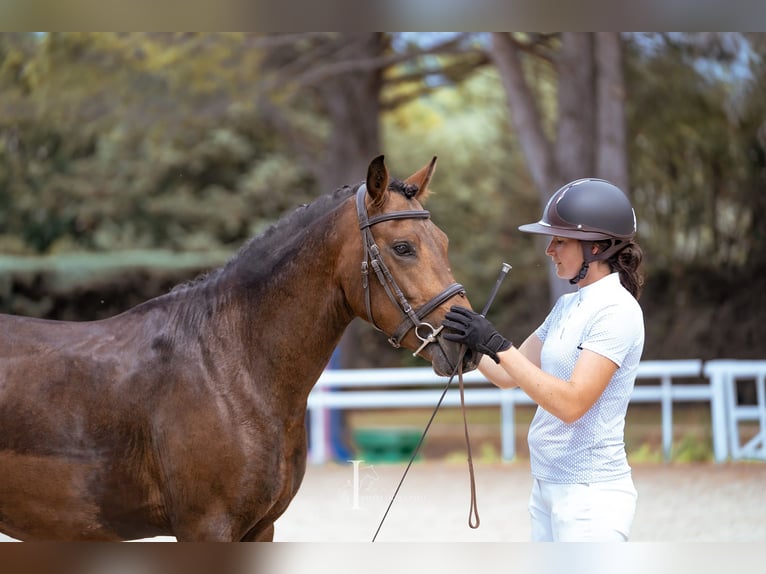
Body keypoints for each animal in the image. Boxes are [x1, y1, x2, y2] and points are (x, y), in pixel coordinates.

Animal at [0, 155, 476, 544]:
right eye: (403, 247)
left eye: (444, 242)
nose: (464, 343)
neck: (232, 368)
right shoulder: (206, 527)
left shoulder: (260, 528)